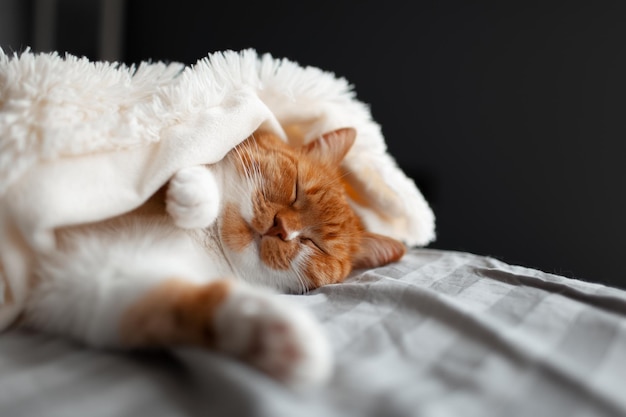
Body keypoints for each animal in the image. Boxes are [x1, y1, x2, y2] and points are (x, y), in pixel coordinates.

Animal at [20, 127, 404, 386]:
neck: (208, 242)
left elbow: (191, 303)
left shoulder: (97, 285)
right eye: (295, 188)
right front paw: (197, 193)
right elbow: (186, 167)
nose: (281, 229)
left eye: (315, 244)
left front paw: (273, 334)